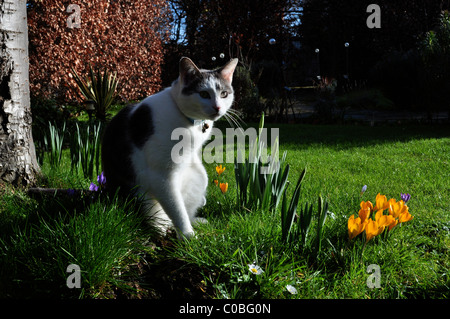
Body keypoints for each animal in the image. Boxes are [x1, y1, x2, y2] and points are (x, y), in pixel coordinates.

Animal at [101, 56, 239, 239]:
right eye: (203, 94)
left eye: (224, 94)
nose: (217, 107)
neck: (190, 123)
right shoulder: (161, 176)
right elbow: (176, 208)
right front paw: (187, 235)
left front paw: (189, 229)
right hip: (141, 197)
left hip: (197, 174)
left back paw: (195, 221)